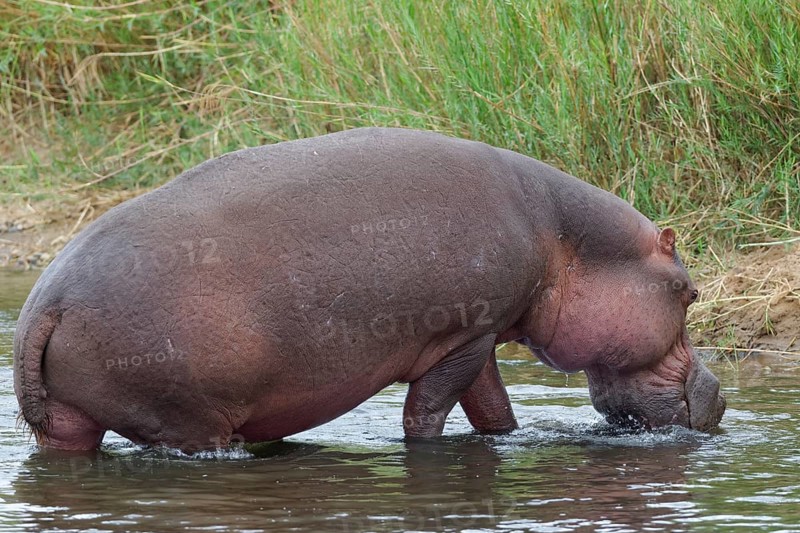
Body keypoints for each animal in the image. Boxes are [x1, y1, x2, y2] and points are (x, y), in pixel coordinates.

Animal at [13, 127, 725, 451]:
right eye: (689, 293)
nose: (719, 394)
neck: (565, 240)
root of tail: (43, 304)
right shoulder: (463, 333)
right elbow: (430, 410)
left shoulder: (483, 334)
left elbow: (493, 411)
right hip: (189, 418)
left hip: (69, 425)